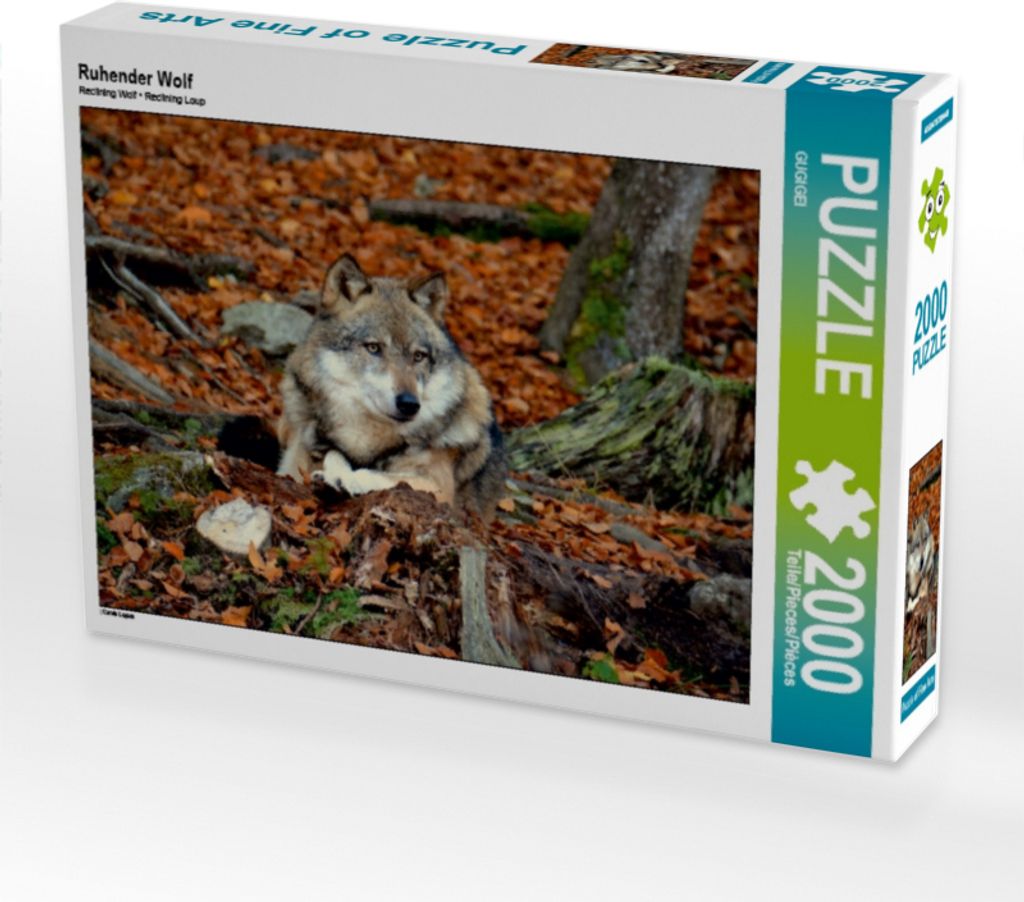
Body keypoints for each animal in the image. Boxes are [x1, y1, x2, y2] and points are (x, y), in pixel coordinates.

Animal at [274, 253, 506, 518]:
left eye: (419, 356)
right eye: (374, 347)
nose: (409, 404)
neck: (370, 441)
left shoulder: (438, 487)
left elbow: (381, 475)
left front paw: (347, 480)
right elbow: (333, 453)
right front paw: (336, 472)